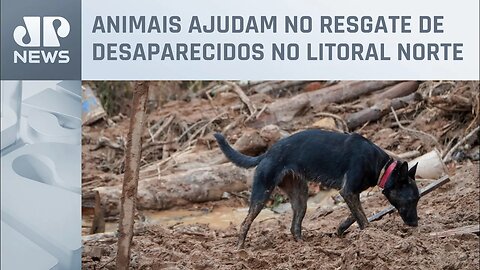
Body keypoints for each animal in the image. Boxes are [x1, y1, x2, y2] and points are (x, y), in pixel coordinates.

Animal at [214, 129, 420, 249]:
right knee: (245, 223)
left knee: (294, 227)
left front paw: (341, 229)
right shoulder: (348, 191)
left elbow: (355, 214)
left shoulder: (351, 193)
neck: (383, 167)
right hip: (262, 194)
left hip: (300, 199)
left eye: (417, 200)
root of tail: (267, 154)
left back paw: (303, 247)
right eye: (411, 200)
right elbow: (362, 218)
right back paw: (240, 251)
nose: (415, 224)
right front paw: (373, 236)